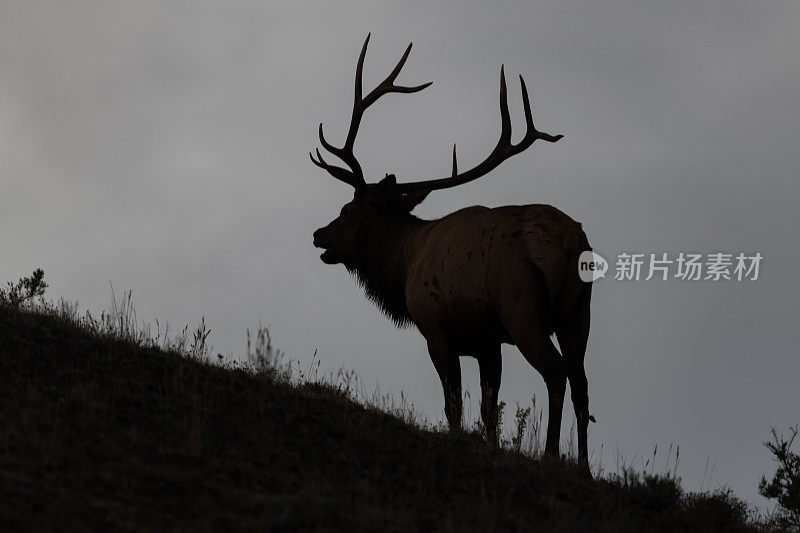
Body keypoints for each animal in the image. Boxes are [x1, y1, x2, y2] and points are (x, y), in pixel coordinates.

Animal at [312, 35, 592, 470]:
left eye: (347, 210)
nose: (318, 235)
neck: (403, 265)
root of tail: (569, 242)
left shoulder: (436, 327)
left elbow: (454, 404)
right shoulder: (487, 342)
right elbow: (489, 411)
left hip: (523, 310)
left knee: (556, 371)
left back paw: (550, 455)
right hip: (577, 312)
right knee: (582, 381)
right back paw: (584, 466)